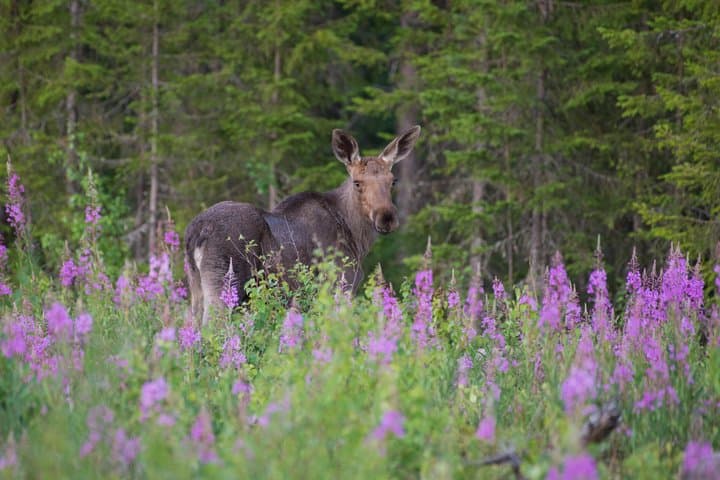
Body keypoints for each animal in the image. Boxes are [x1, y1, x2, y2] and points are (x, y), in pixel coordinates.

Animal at [184, 125, 421, 325]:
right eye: (357, 183)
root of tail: (197, 232)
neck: (357, 238)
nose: (386, 217)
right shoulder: (341, 284)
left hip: (196, 288)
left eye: (392, 181)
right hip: (225, 283)